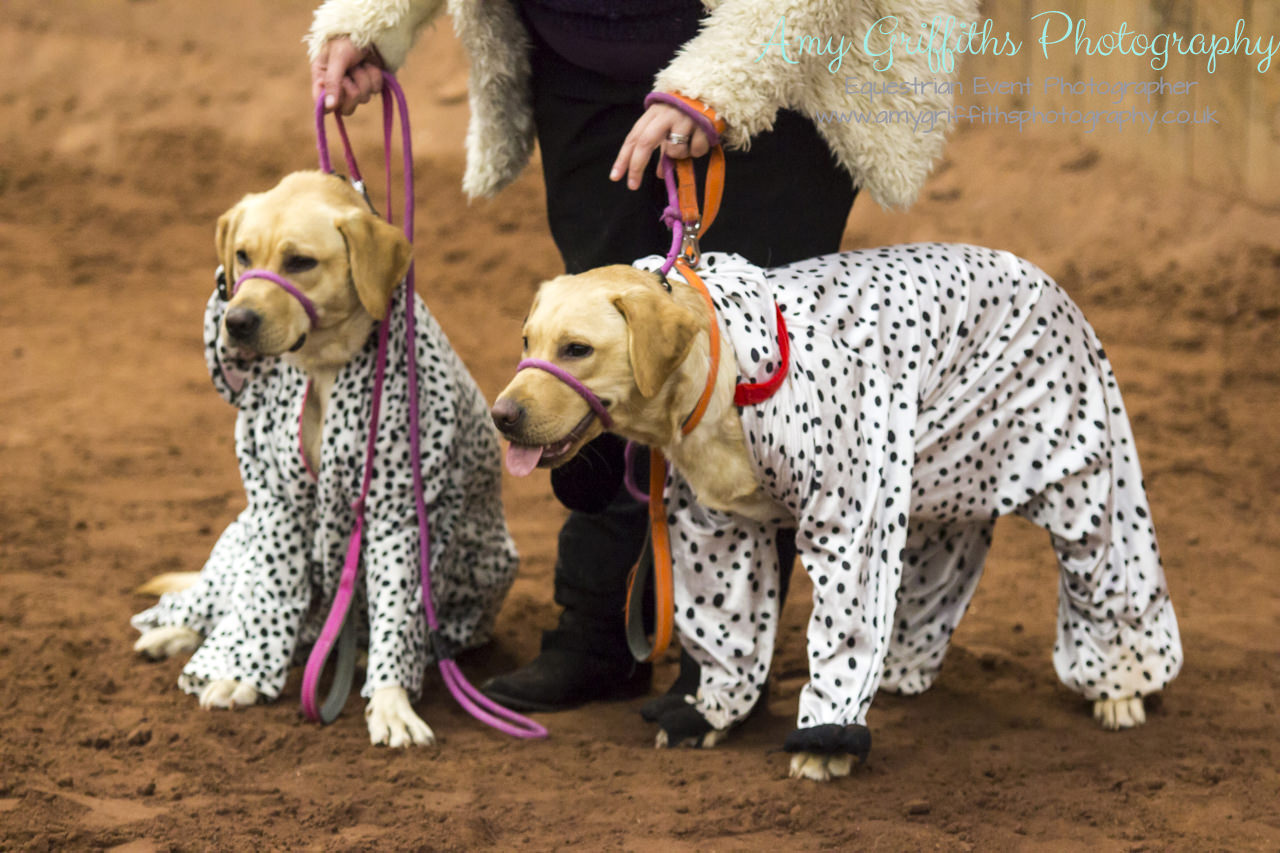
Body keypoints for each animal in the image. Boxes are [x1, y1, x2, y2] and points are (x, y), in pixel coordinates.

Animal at [132, 167, 517, 742]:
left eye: (300, 262)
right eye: (242, 255)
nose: (236, 321)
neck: (322, 367)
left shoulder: (397, 517)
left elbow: (396, 618)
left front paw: (392, 706)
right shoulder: (279, 505)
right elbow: (267, 599)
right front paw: (240, 676)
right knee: (207, 600)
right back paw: (171, 633)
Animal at [494, 244, 1182, 778]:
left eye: (577, 349)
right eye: (526, 341)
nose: (501, 416)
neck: (723, 374)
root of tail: (1040, 272)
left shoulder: (849, 525)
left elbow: (842, 640)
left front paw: (826, 744)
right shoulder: (718, 533)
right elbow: (729, 636)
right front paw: (708, 715)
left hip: (1084, 484)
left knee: (1111, 581)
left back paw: (1122, 688)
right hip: (939, 490)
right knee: (944, 570)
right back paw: (907, 669)